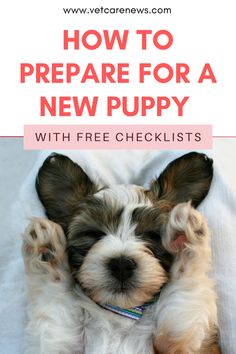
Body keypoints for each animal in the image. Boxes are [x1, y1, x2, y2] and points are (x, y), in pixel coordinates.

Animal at [22, 151, 221, 352]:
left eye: (153, 235)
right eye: (93, 233)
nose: (122, 266)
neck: (121, 313)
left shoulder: (185, 343)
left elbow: (183, 300)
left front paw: (185, 235)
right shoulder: (61, 344)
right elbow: (54, 301)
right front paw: (47, 251)